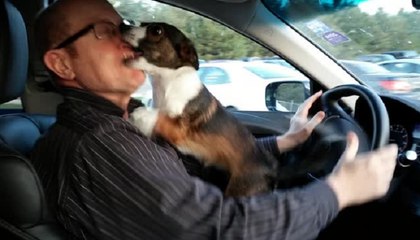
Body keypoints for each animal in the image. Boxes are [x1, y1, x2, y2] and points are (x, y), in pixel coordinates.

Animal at [120, 21, 280, 197]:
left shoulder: (180, 130)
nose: (123, 25)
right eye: (142, 24)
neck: (167, 84)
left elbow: (159, 116)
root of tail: (270, 170)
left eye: (157, 30)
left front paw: (140, 113)